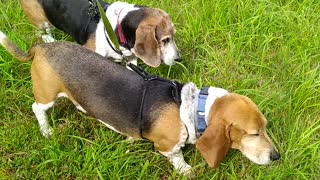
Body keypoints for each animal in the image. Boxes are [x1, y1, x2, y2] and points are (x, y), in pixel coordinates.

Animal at [20, 0, 180, 67]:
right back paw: (49, 40)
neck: (116, 29)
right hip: (41, 21)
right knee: (41, 32)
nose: (179, 59)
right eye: (165, 40)